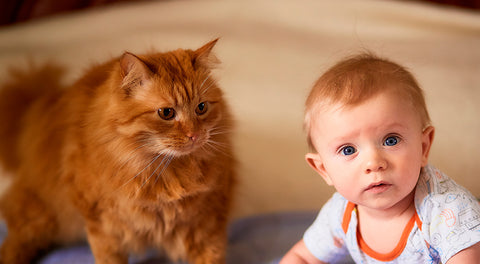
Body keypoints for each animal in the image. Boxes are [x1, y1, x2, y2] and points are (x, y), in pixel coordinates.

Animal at [0, 39, 234, 264]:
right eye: (166, 113)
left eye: (201, 108)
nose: (195, 135)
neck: (164, 173)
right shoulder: (102, 222)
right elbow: (109, 257)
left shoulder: (208, 219)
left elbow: (211, 255)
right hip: (40, 218)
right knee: (14, 242)